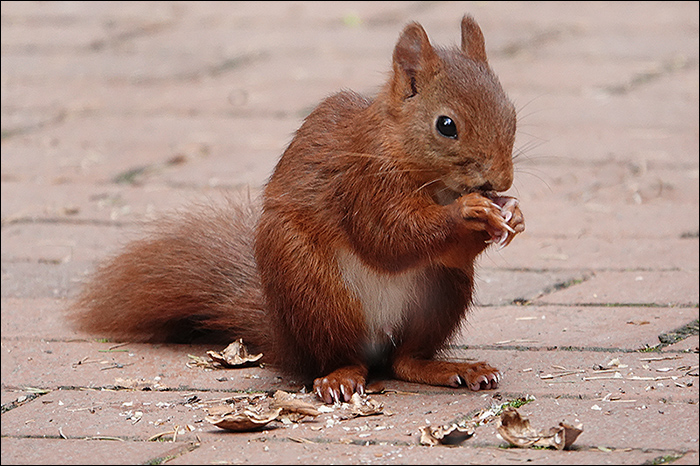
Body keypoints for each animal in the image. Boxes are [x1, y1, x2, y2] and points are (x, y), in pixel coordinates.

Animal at [72, 15, 525, 404]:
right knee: (342, 357)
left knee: (404, 361)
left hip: (442, 292)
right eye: (446, 126)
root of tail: (283, 336)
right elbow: (388, 238)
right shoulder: (362, 182)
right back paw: (340, 377)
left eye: (512, 113)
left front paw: (513, 216)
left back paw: (454, 368)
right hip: (310, 286)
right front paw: (469, 212)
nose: (501, 182)